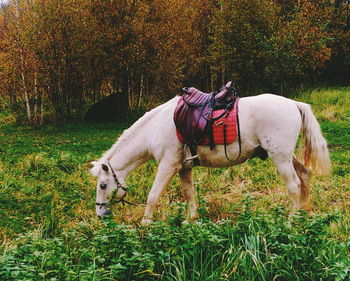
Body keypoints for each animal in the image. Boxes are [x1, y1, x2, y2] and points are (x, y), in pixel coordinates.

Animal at [90, 93, 330, 223]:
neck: (155, 128)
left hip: (280, 158)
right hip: (286, 156)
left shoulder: (167, 166)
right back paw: (302, 213)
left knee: (294, 185)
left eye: (103, 185)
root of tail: (293, 104)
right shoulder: (184, 167)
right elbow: (189, 194)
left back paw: (290, 222)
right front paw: (191, 219)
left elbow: (153, 195)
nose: (99, 214)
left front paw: (146, 224)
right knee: (305, 176)